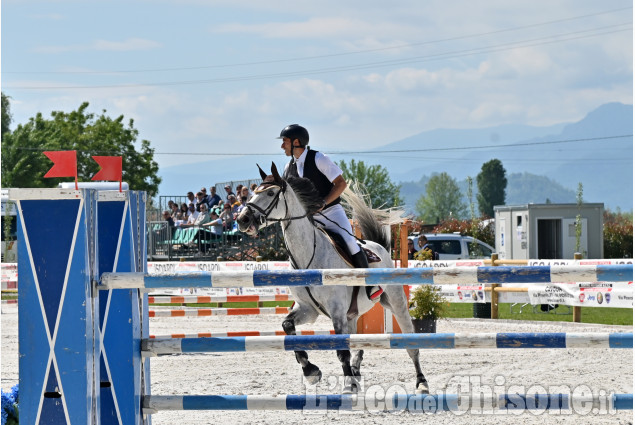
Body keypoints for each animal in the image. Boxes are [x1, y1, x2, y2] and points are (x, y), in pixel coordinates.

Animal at [236, 162, 430, 394]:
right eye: (254, 192)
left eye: (271, 193)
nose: (242, 220)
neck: (307, 256)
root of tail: (378, 247)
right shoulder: (308, 309)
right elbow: (287, 326)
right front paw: (311, 371)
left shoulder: (336, 310)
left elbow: (341, 352)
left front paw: (346, 385)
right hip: (352, 314)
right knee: (357, 342)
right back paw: (355, 372)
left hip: (395, 303)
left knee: (410, 343)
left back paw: (421, 382)